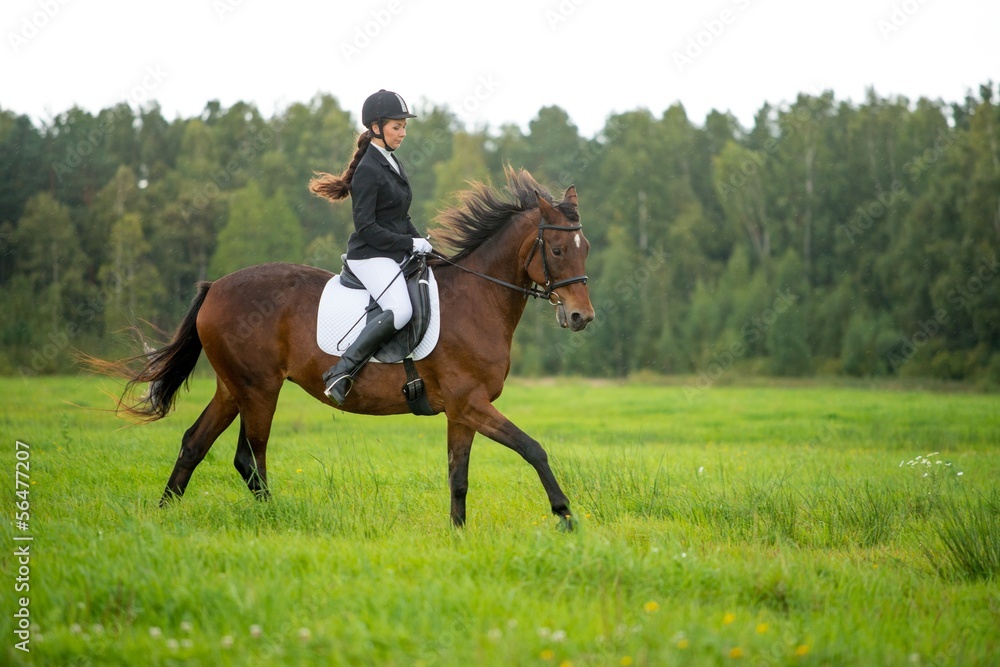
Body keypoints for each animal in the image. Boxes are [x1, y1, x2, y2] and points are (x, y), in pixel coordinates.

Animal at [92, 168, 592, 532]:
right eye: (558, 249)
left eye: (585, 247)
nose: (581, 317)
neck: (478, 298)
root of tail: (215, 286)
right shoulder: (471, 403)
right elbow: (533, 449)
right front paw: (565, 515)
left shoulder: (462, 410)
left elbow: (459, 476)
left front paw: (458, 533)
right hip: (259, 390)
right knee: (250, 457)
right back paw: (273, 519)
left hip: (233, 389)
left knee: (196, 444)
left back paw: (163, 515)